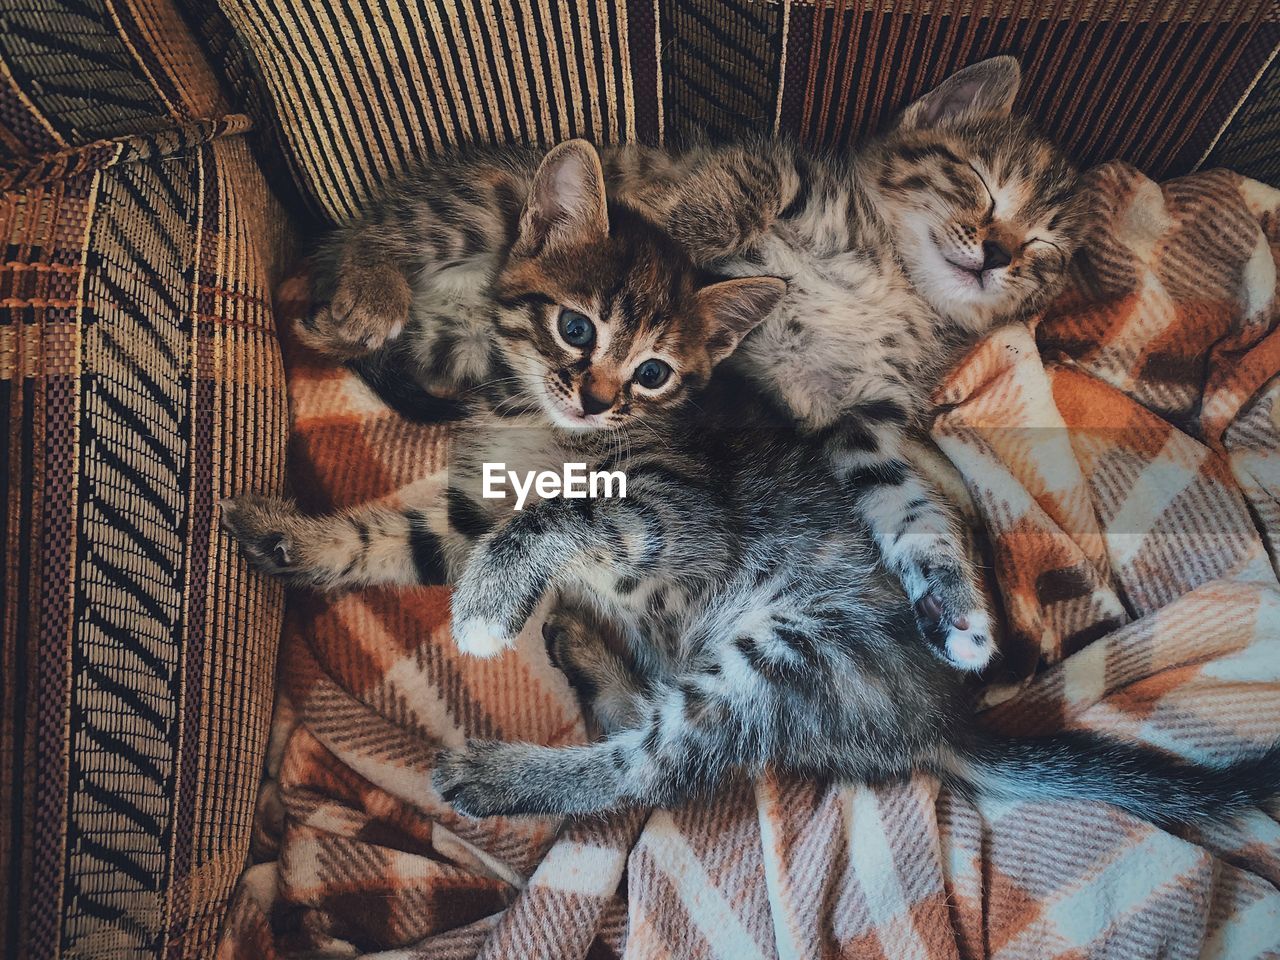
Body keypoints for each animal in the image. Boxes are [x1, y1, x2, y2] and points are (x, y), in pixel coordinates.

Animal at [225, 138, 1274, 829]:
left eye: (654, 373)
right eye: (575, 326)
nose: (595, 395)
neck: (536, 420)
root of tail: (943, 721)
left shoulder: (680, 514)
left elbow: (561, 514)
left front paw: (487, 602)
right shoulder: (472, 500)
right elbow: (394, 537)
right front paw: (290, 537)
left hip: (787, 652)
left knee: (650, 769)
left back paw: (503, 778)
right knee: (641, 714)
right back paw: (580, 644)